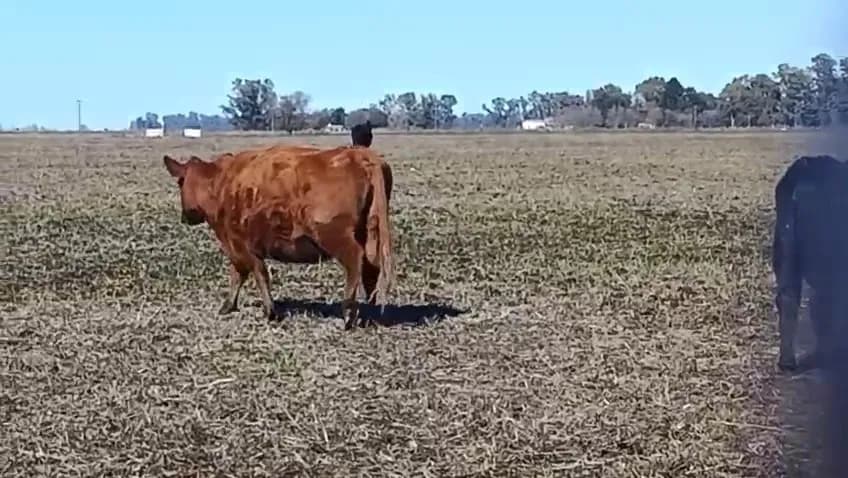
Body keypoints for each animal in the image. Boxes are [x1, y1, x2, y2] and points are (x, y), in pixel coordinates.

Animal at [162, 144, 394, 329]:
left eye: (180, 182)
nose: (185, 217)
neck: (220, 183)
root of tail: (360, 154)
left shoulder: (239, 245)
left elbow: (256, 274)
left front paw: (269, 311)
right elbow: (239, 275)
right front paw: (229, 306)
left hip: (337, 237)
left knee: (355, 263)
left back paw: (348, 314)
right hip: (371, 233)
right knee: (371, 269)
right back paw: (369, 314)